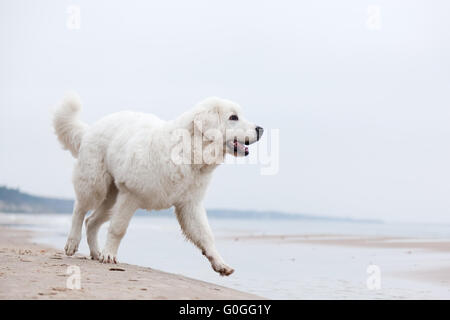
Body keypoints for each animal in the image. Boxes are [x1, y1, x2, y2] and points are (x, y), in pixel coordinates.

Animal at [52, 92, 264, 276]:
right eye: (233, 117)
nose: (260, 129)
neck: (188, 152)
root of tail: (90, 129)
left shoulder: (190, 205)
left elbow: (206, 235)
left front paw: (220, 264)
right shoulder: (130, 195)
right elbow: (118, 229)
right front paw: (110, 254)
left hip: (111, 200)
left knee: (92, 221)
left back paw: (96, 253)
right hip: (95, 187)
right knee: (80, 210)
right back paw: (73, 243)